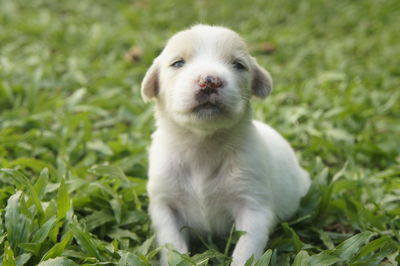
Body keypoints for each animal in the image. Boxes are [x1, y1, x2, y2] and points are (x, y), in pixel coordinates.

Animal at [141, 25, 312, 266]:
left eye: (238, 65)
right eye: (178, 63)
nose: (209, 80)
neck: (202, 144)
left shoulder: (253, 206)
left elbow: (246, 249)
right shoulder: (164, 203)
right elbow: (172, 244)